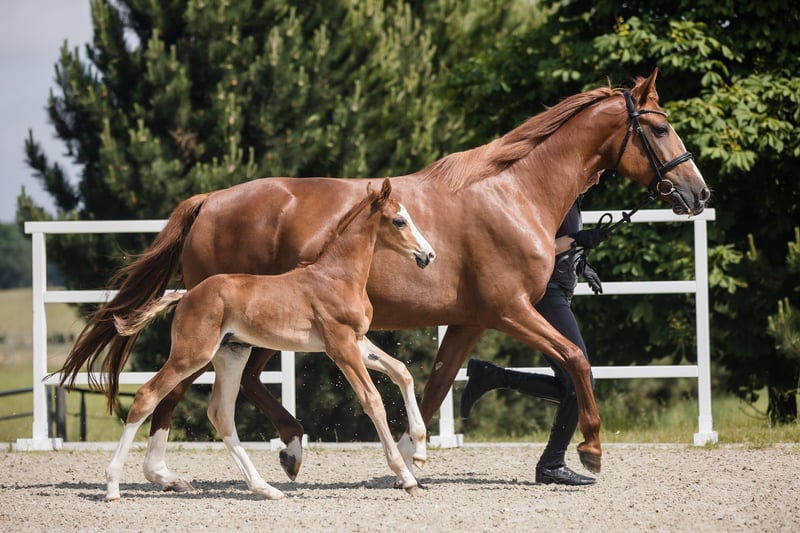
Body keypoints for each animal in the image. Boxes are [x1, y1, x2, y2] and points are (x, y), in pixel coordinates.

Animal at [102, 179, 435, 500]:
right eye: (399, 221)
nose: (428, 255)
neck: (336, 277)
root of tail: (185, 297)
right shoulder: (340, 346)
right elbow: (373, 400)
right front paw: (406, 477)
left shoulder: (357, 341)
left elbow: (401, 372)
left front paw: (419, 452)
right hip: (192, 354)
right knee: (147, 395)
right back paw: (113, 487)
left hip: (231, 354)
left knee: (221, 414)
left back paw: (265, 488)